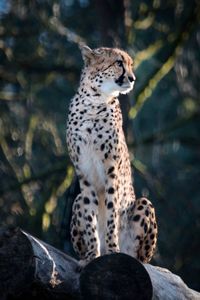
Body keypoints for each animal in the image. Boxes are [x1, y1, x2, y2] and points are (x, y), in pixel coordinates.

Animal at [66, 44, 157, 264]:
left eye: (131, 64)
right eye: (119, 63)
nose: (132, 78)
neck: (94, 101)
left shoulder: (112, 170)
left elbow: (111, 212)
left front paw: (112, 249)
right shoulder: (84, 173)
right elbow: (91, 216)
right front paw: (92, 254)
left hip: (144, 204)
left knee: (140, 257)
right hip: (77, 201)